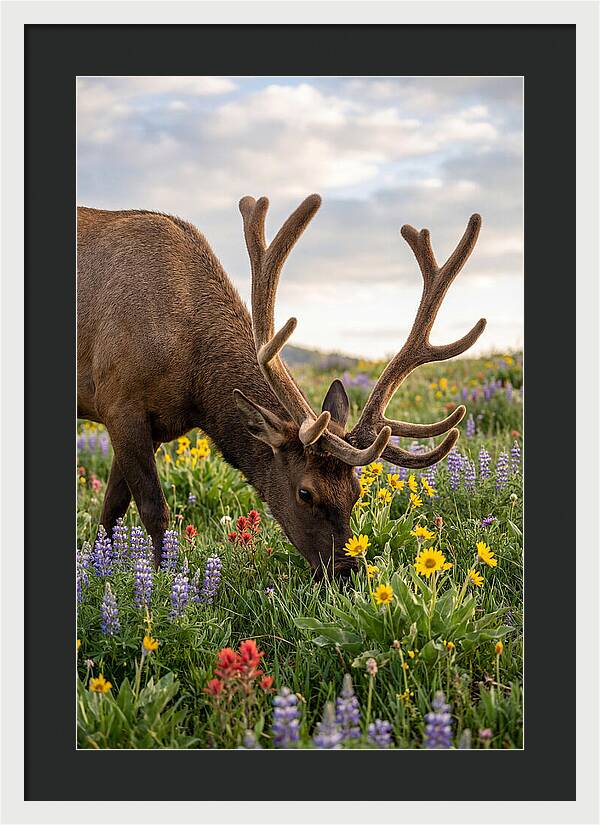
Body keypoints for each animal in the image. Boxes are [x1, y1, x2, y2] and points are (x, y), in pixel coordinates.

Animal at [77, 194, 486, 575]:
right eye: (305, 492)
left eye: (356, 491)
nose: (346, 572)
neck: (194, 383)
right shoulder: (119, 402)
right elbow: (152, 510)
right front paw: (159, 581)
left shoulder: (156, 425)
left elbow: (111, 510)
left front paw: (101, 568)